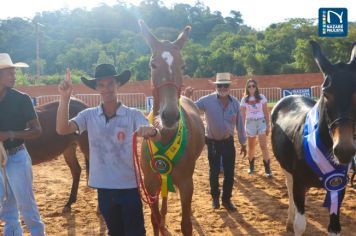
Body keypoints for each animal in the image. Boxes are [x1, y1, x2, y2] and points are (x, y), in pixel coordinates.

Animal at [140, 21, 206, 235]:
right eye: (153, 65)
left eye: (182, 65)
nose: (169, 116)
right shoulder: (150, 182)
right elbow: (154, 219)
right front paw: (160, 221)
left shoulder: (186, 183)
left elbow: (186, 225)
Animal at [272, 41, 354, 235]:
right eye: (326, 93)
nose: (344, 150)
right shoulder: (299, 184)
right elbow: (300, 225)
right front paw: (293, 223)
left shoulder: (338, 186)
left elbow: (334, 228)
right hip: (286, 169)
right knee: (289, 188)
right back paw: (288, 220)